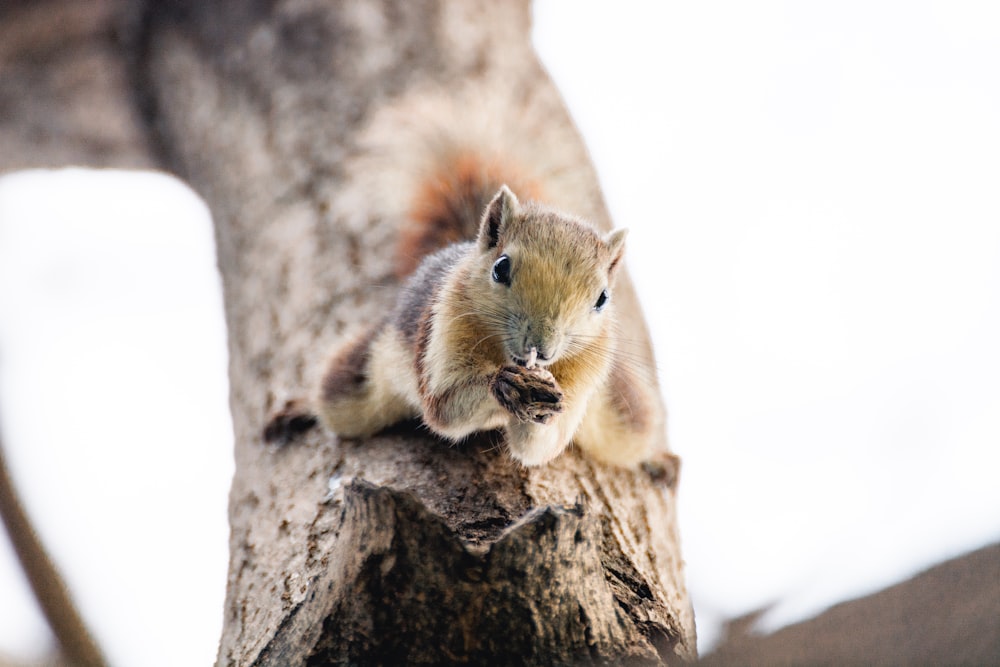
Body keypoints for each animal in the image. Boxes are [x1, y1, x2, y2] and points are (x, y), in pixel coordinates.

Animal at [302, 158, 664, 470]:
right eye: (500, 268)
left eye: (602, 298)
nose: (542, 349)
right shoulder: (442, 332)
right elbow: (444, 407)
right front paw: (503, 383)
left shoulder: (582, 376)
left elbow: (539, 446)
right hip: (356, 384)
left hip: (625, 417)